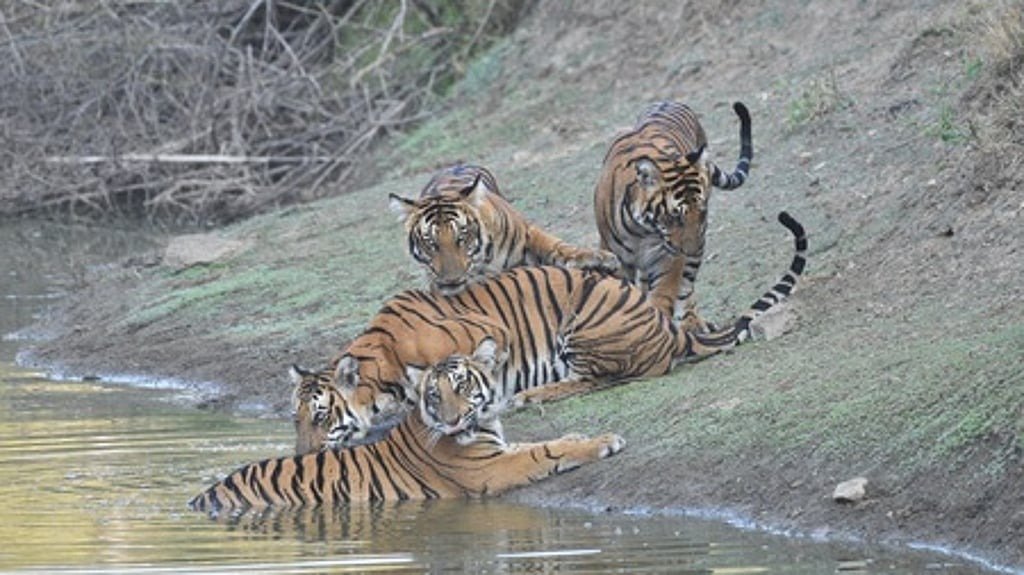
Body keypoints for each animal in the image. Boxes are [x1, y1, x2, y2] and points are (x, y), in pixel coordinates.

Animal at [187, 367, 624, 511]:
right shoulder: (492, 468)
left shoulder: (498, 451)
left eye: (462, 386)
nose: (453, 418)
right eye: (436, 394)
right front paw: (606, 440)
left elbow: (540, 443)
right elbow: (545, 452)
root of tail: (202, 497)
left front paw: (581, 433)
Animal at [320, 211, 805, 447]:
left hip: (584, 328)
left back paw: (532, 394)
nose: (307, 448)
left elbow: (469, 371)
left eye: (318, 412)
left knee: (605, 378)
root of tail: (669, 327)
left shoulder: (483, 334)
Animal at [389, 163, 619, 295]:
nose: (451, 280)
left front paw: (596, 258)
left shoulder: (527, 233)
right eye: (430, 243)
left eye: (462, 237)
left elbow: (554, 245)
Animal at [594, 101, 753, 333]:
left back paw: (690, 322)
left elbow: (664, 292)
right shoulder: (616, 256)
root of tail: (672, 102)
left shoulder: (668, 255)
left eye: (702, 212)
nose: (692, 250)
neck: (641, 230)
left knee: (686, 287)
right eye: (675, 217)